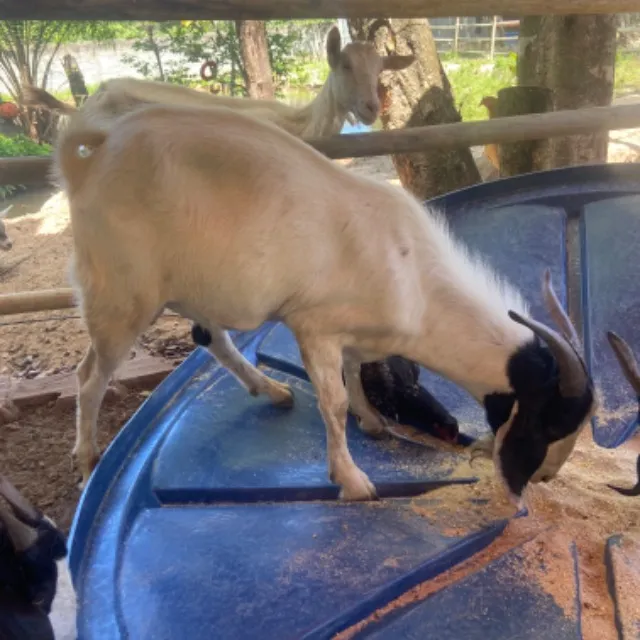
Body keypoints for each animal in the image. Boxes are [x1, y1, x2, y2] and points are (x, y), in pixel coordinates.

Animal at [54, 103, 595, 505]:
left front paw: (372, 422)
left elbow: (353, 374)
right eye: (548, 420)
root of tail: (90, 157)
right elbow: (332, 400)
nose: (543, 478)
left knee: (208, 335)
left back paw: (272, 390)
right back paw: (86, 460)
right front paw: (353, 482)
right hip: (122, 293)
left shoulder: (355, 334)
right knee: (90, 376)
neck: (415, 280)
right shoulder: (314, 326)